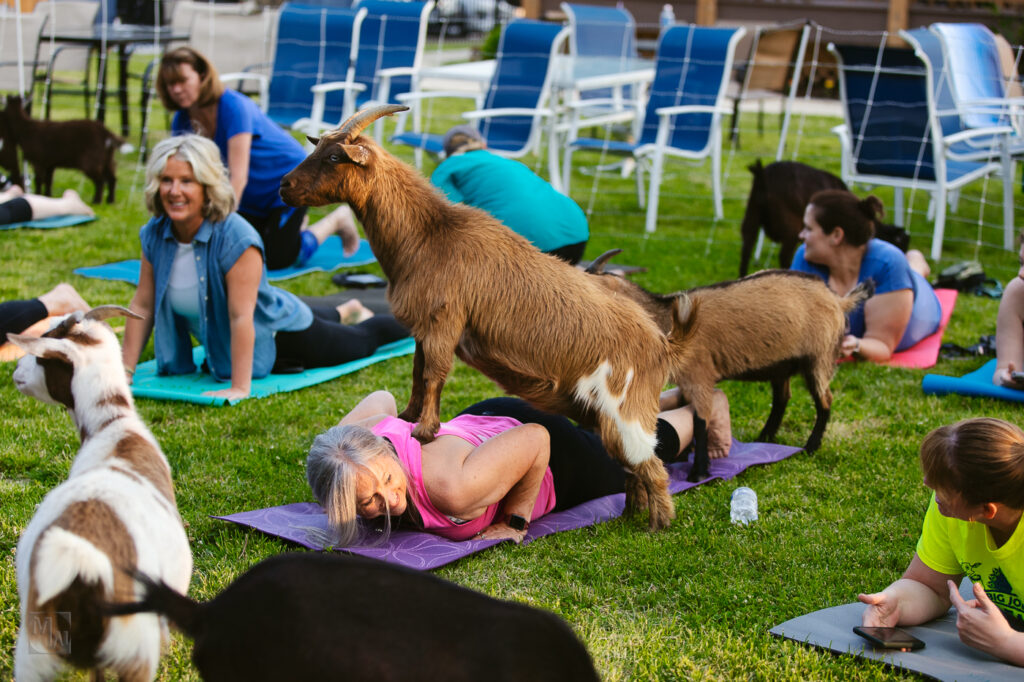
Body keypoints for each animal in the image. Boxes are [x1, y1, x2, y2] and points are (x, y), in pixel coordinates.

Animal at [9, 307, 192, 679]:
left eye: (40, 354)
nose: (15, 371)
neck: (114, 425)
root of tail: (82, 565)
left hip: (34, 655)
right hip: (135, 651)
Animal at [280, 106, 679, 532]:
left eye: (334, 157)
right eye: (319, 147)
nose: (284, 187)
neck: (428, 234)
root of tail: (661, 343)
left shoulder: (444, 319)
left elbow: (434, 372)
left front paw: (424, 431)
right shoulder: (423, 327)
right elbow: (418, 371)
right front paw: (408, 416)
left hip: (627, 413)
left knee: (653, 468)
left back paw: (657, 525)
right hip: (599, 415)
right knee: (633, 468)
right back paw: (629, 513)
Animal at [589, 251, 868, 481]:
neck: (666, 320)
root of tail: (838, 300)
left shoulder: (699, 376)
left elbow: (701, 421)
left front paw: (698, 472)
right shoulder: (688, 382)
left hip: (819, 357)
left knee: (825, 400)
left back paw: (810, 446)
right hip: (782, 365)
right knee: (782, 397)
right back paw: (765, 436)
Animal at [737, 159, 913, 276]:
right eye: (900, 244)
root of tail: (762, 176)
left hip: (751, 214)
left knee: (746, 248)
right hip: (790, 226)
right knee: (784, 255)